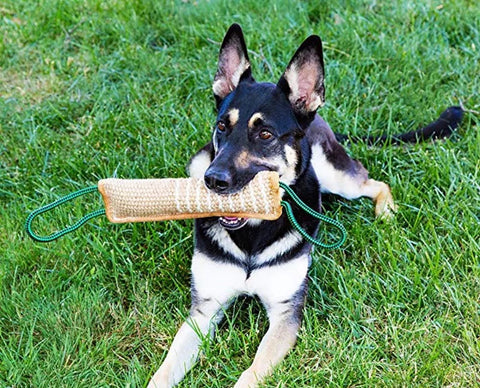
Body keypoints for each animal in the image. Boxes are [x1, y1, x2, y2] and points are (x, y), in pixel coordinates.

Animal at [148, 24, 464, 388]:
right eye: (222, 127)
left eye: (266, 135)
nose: (214, 182)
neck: (253, 235)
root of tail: (317, 119)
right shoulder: (203, 311)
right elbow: (164, 371)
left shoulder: (286, 314)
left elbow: (250, 373)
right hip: (198, 163)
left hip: (335, 175)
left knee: (372, 181)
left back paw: (385, 212)